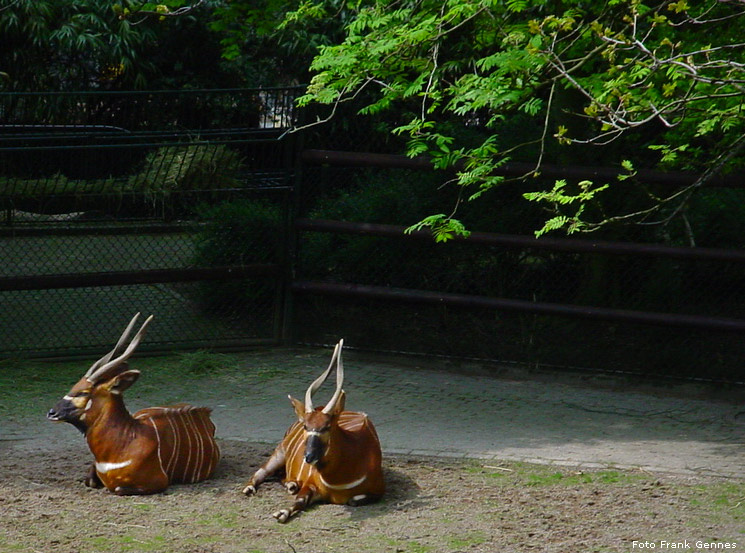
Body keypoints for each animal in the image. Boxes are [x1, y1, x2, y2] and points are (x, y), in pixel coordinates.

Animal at [243, 338, 384, 524]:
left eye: (327, 427)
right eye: (306, 426)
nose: (308, 457)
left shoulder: (379, 490)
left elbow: (353, 500)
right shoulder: (311, 484)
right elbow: (300, 500)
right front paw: (281, 513)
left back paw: (292, 484)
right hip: (279, 453)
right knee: (261, 472)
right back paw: (249, 488)